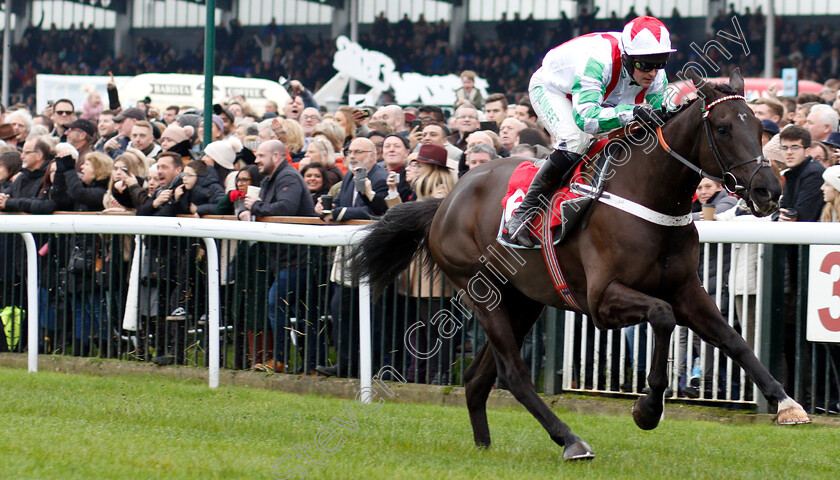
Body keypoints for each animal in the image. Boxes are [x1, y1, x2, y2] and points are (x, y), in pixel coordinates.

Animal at [352, 68, 808, 462]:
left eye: (761, 128)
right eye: (724, 128)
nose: (769, 190)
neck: (648, 195)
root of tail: (445, 200)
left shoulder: (687, 290)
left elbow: (735, 341)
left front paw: (787, 403)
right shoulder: (602, 300)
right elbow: (662, 318)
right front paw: (647, 409)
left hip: (524, 299)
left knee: (478, 377)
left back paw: (484, 447)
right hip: (483, 293)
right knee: (513, 373)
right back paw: (570, 440)